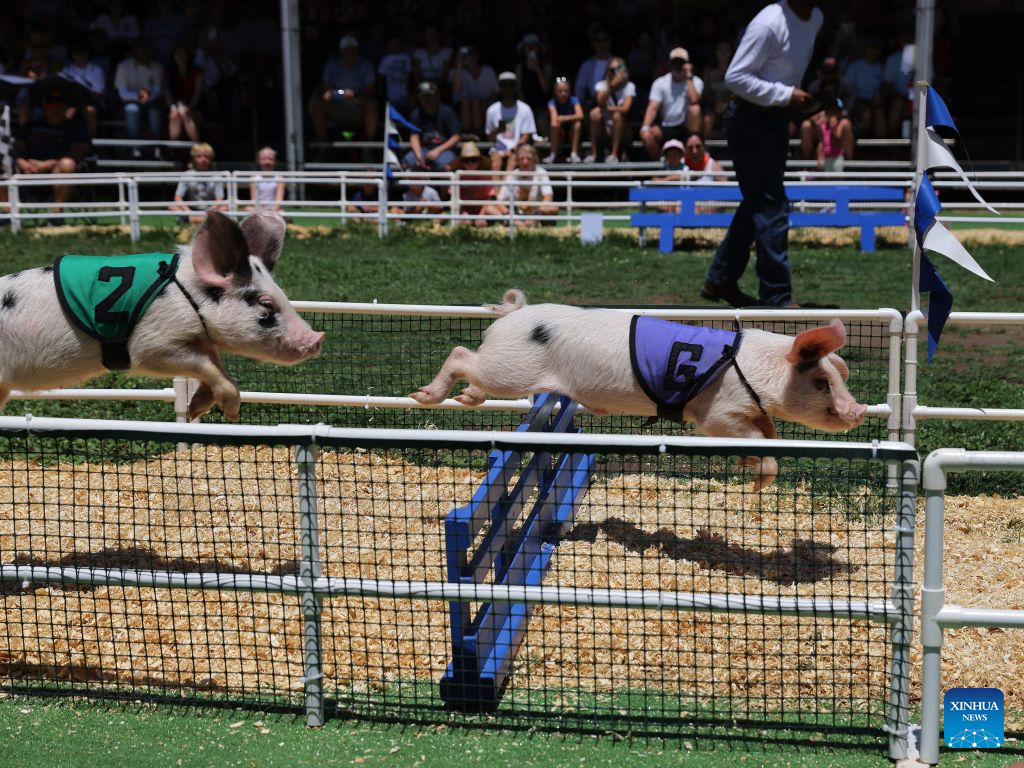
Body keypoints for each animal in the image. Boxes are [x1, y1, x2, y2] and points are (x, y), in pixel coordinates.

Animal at [0, 211, 324, 421]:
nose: (318, 338)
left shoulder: (199, 338)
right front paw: (230, 413)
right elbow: (206, 367)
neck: (189, 295)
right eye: (264, 304)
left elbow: (216, 365)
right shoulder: (150, 345)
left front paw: (196, 409)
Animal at [411, 289, 868, 489]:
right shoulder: (715, 412)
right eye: (822, 382)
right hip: (508, 369)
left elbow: (768, 436)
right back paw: (423, 396)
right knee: (461, 353)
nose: (858, 410)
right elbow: (749, 435)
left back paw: (465, 399)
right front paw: (757, 480)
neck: (757, 371)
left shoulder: (753, 410)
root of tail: (514, 313)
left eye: (840, 378)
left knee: (471, 371)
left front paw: (750, 473)